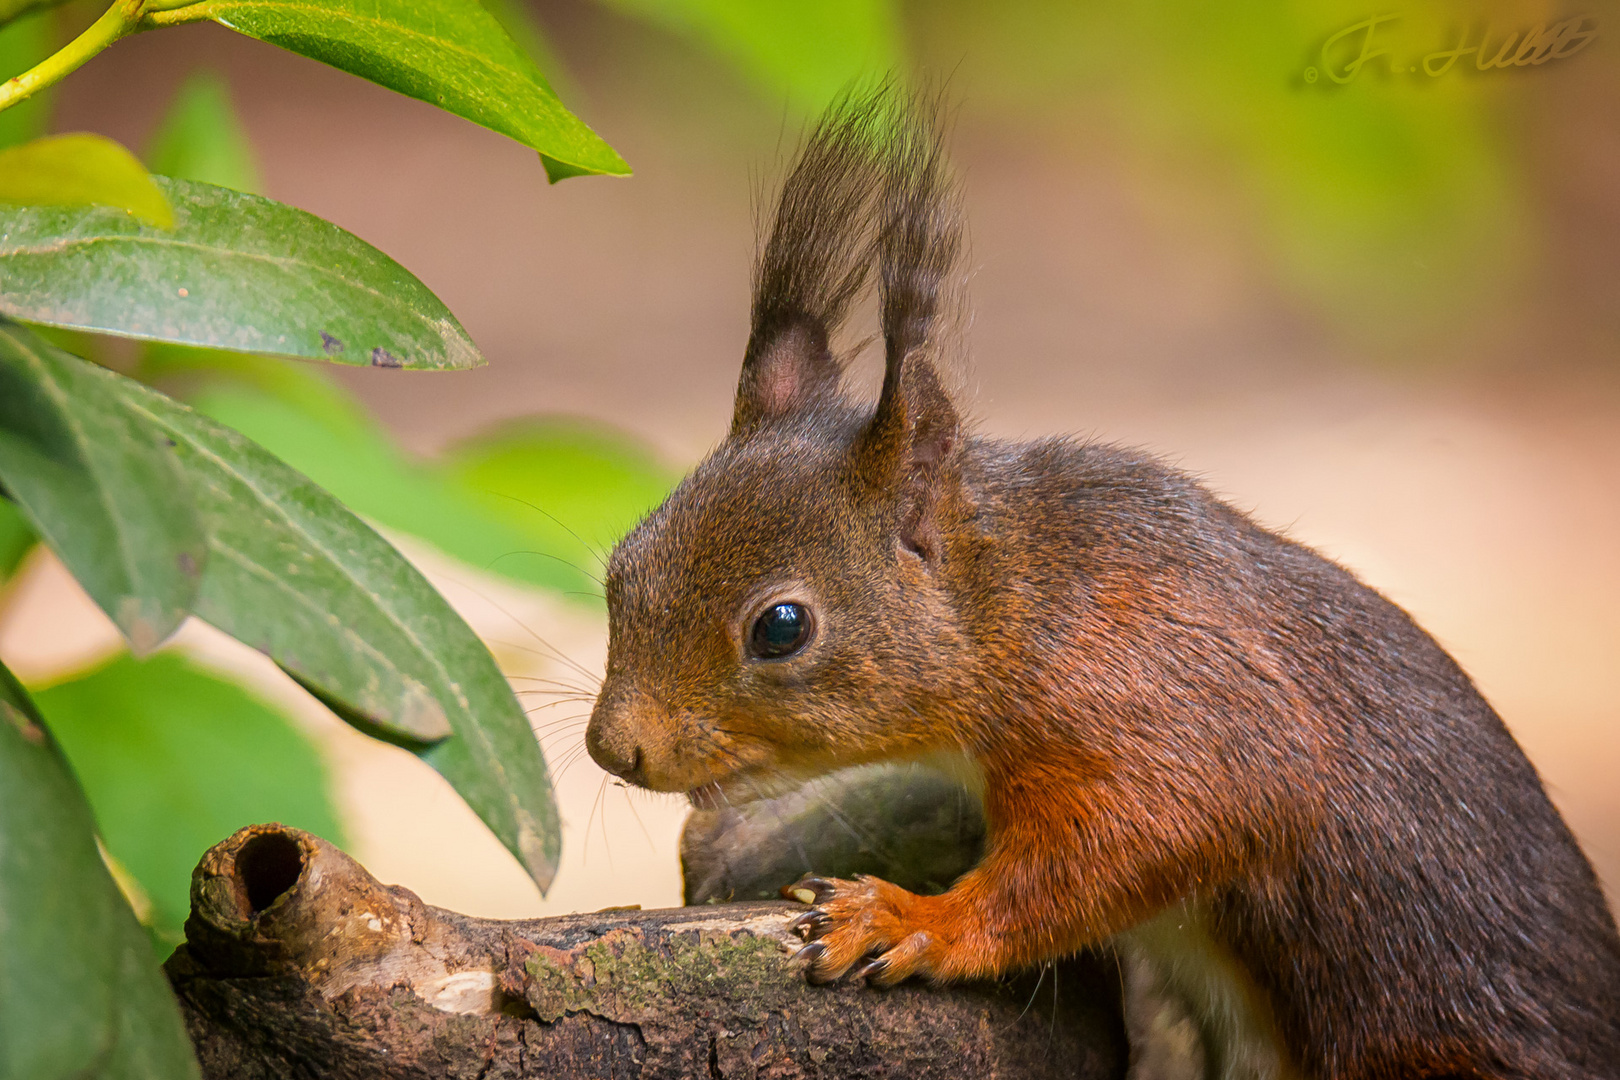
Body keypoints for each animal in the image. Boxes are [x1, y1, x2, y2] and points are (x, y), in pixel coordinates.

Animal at [586, 88, 1620, 1075]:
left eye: (782, 627)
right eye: (620, 565)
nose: (612, 749)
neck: (1023, 598)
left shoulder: (1162, 698)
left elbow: (1128, 843)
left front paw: (910, 919)